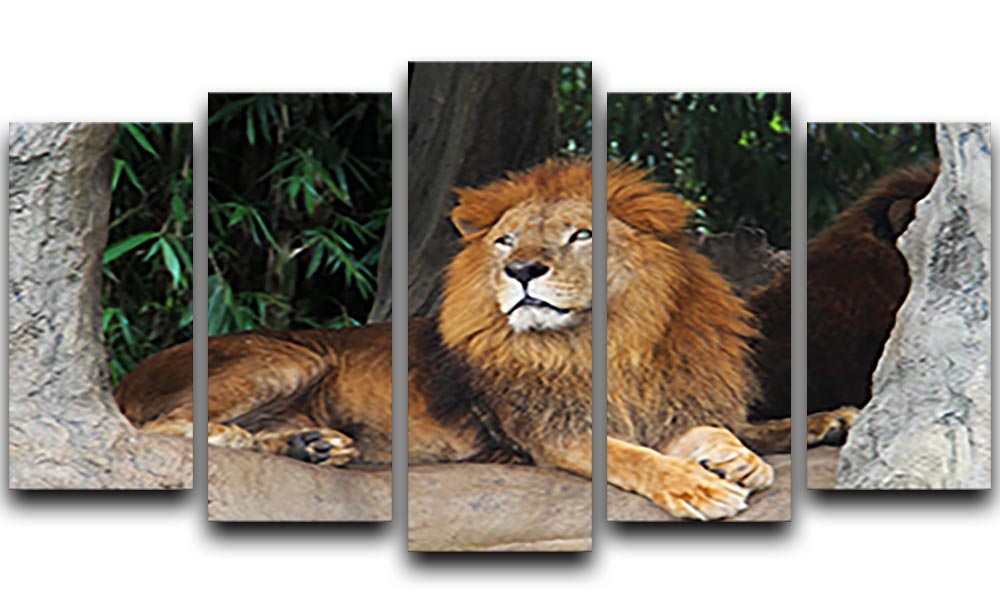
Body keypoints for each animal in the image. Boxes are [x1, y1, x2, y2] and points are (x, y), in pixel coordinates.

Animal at [117, 159, 849, 521]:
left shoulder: (671, 403)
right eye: (505, 240)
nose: (521, 270)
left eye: (582, 233)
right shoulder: (555, 432)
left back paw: (312, 444)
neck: (611, 343)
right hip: (288, 355)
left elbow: (740, 428)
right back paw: (238, 437)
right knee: (159, 425)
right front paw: (700, 487)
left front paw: (779, 442)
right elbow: (636, 459)